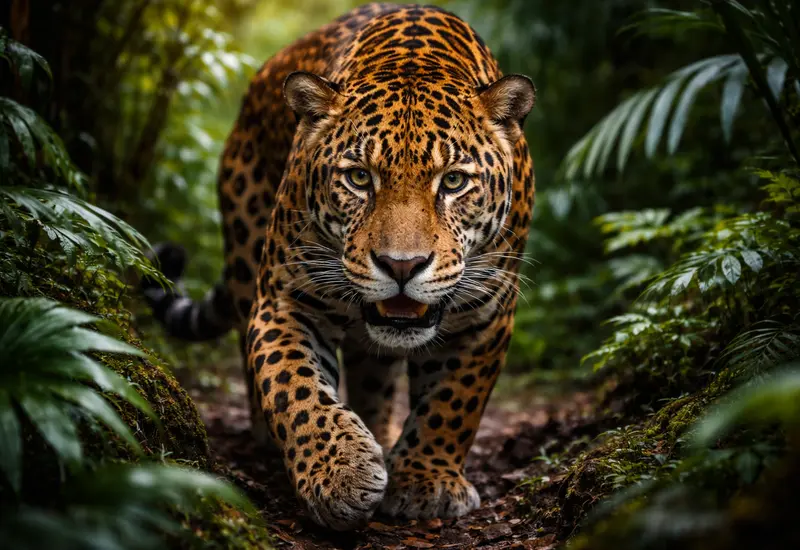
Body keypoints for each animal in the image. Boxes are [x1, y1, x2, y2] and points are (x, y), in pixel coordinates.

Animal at [142, 2, 535, 531]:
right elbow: (295, 389)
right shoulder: (285, 301)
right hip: (245, 258)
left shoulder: (486, 318)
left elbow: (453, 404)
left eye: (453, 182)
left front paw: (425, 481)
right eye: (358, 178)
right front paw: (340, 475)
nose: (401, 266)